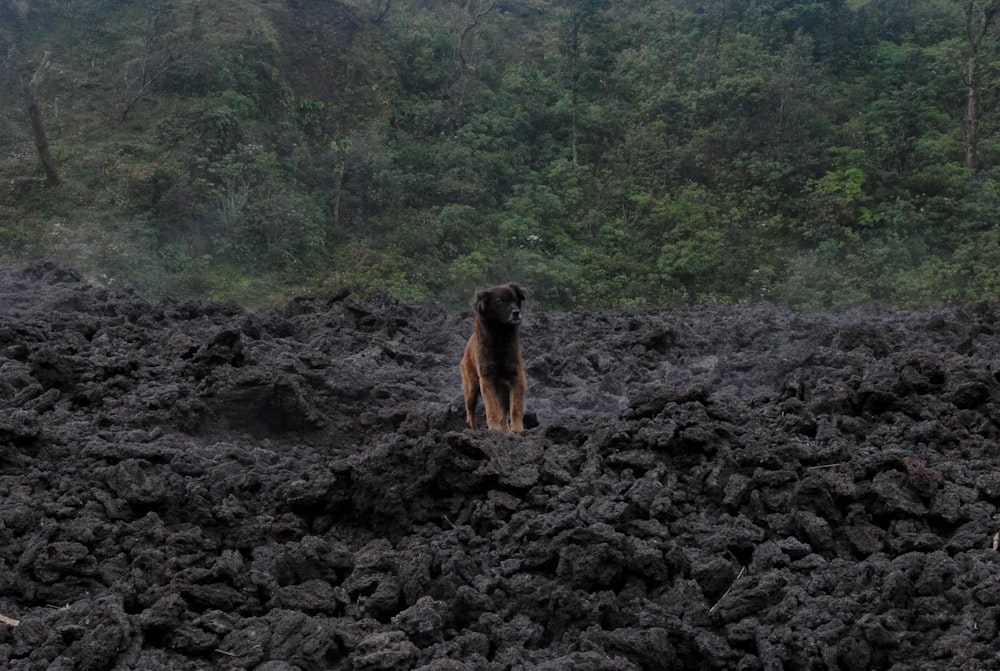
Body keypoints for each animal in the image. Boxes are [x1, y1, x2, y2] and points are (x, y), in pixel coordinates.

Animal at [460, 282, 528, 430]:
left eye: (515, 300)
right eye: (500, 301)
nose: (516, 313)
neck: (500, 334)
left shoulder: (516, 374)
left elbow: (515, 406)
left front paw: (517, 429)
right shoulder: (486, 377)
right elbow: (491, 407)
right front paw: (493, 428)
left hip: (503, 390)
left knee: (503, 412)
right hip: (472, 387)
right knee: (470, 411)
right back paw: (474, 430)